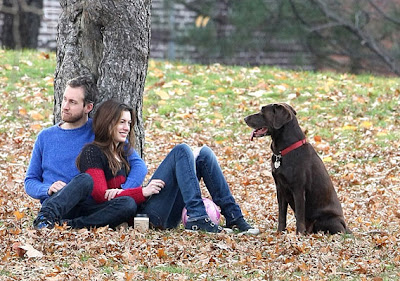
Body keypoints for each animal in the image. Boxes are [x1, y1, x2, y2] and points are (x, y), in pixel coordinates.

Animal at [244, 103, 350, 234]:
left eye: (262, 112)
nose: (245, 118)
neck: (284, 152)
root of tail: (345, 227)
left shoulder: (298, 189)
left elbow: (299, 216)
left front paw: (299, 234)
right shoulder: (280, 188)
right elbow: (281, 214)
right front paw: (280, 232)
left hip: (328, 220)